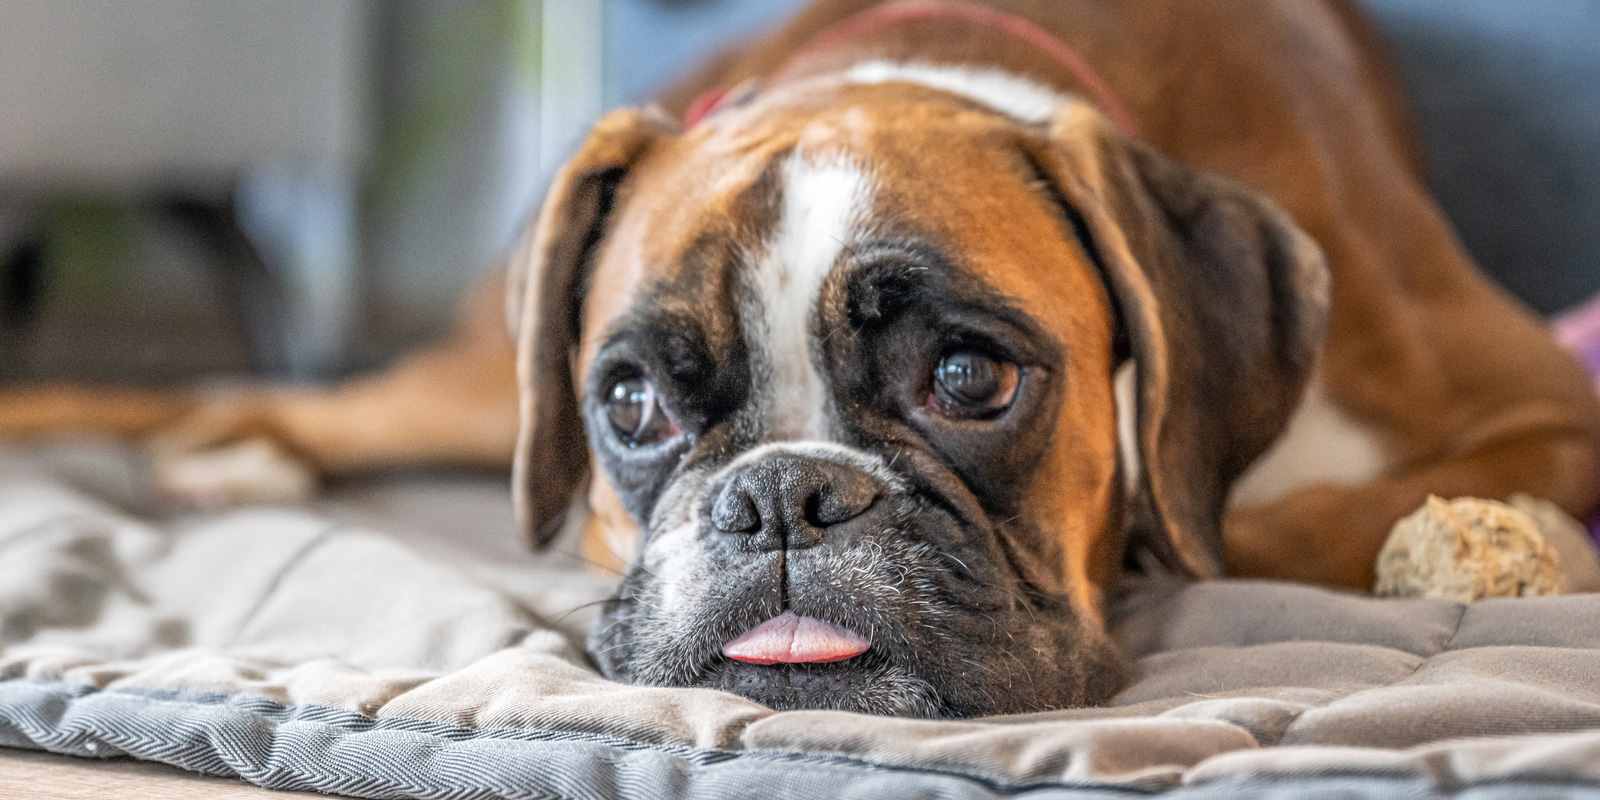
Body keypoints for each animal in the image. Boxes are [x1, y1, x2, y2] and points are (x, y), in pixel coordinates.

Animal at [3, 0, 1600, 720]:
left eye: (971, 380)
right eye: (631, 401)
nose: (781, 498)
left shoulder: (1551, 406)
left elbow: (1283, 517)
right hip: (452, 391)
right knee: (305, 404)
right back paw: (223, 460)